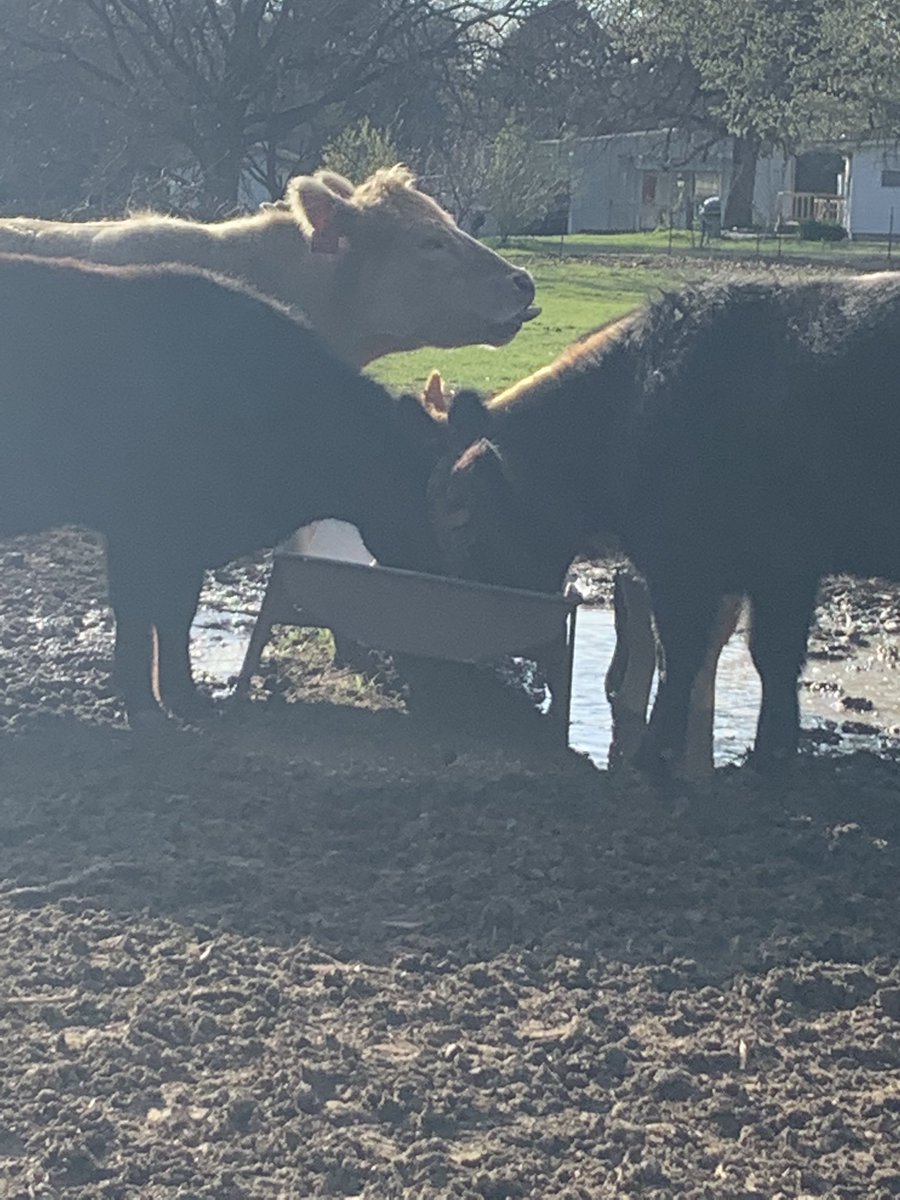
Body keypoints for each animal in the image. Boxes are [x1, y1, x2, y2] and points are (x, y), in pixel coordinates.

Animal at [0, 254, 448, 724]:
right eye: (439, 496)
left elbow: (174, 612)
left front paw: (182, 701)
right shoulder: (140, 527)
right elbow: (144, 610)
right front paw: (156, 709)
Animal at [429, 274, 900, 776]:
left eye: (461, 512)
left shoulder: (690, 562)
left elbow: (683, 652)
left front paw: (652, 756)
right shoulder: (783, 569)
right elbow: (771, 658)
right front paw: (767, 757)